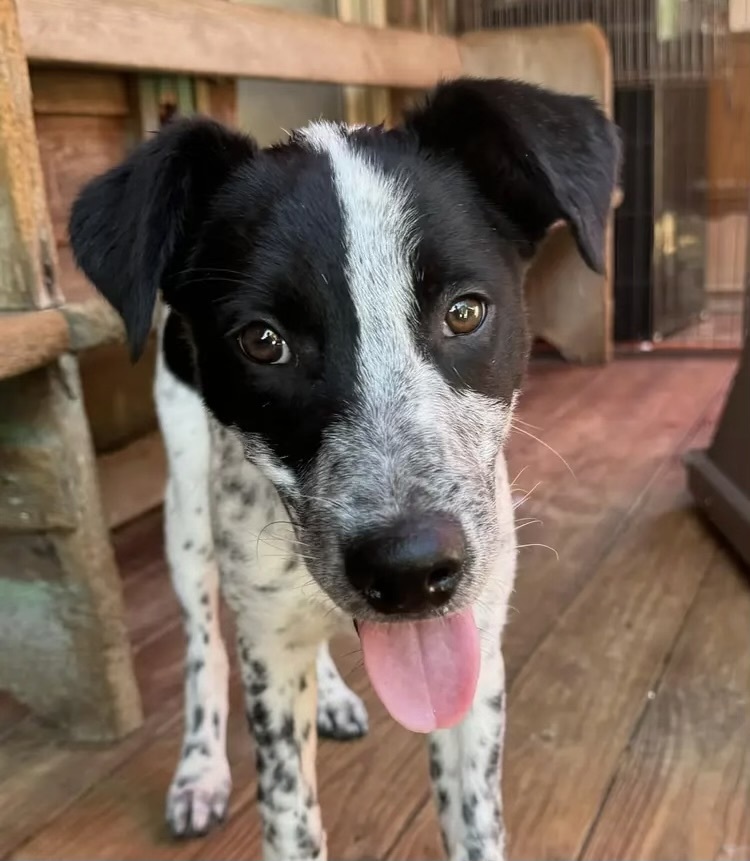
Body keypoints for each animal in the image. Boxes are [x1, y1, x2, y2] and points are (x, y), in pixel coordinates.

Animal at [69, 75, 624, 860]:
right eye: (262, 341)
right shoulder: (269, 649)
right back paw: (200, 768)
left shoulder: (477, 650)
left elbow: (476, 823)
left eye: (465, 312)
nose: (411, 570)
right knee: (204, 645)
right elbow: (290, 815)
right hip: (188, 517)